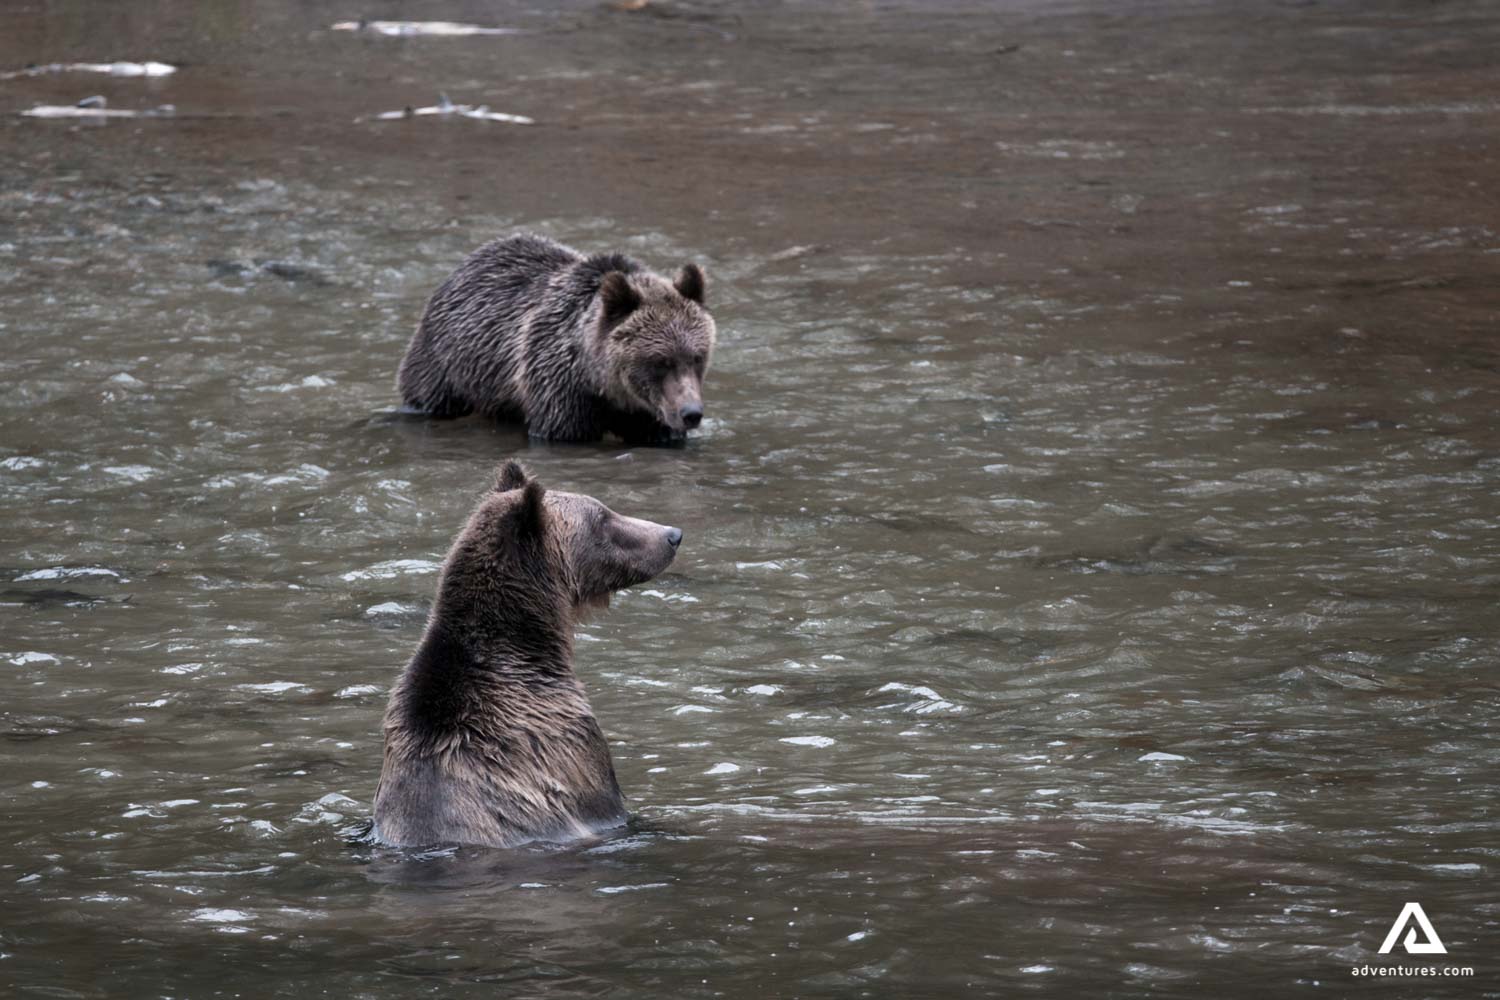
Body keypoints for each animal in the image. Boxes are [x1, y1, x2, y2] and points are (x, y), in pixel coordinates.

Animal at [397, 234, 716, 445]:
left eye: (697, 357)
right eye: (660, 361)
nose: (691, 413)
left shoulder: (650, 409)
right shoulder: (558, 385)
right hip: (445, 363)